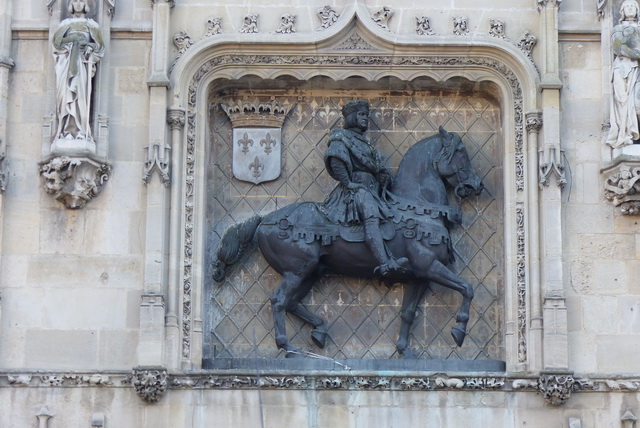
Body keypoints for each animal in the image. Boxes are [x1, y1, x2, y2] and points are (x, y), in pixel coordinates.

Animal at [212, 126, 482, 358]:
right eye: (461, 152)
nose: (476, 185)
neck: (417, 209)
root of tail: (264, 220)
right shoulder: (429, 266)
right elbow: (467, 288)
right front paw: (459, 330)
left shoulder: (420, 276)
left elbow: (408, 313)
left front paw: (405, 351)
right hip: (296, 271)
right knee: (279, 301)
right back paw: (288, 347)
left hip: (310, 272)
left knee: (291, 303)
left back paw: (319, 331)